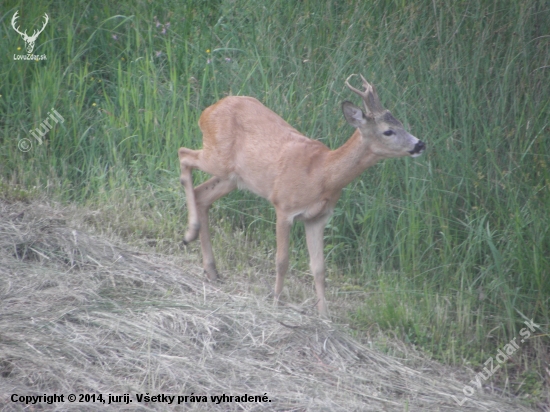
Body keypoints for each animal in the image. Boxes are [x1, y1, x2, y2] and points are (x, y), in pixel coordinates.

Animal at [179, 75, 424, 318]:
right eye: (388, 131)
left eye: (401, 123)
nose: (420, 144)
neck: (322, 174)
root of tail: (207, 111)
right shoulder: (284, 206)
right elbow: (282, 261)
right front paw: (276, 303)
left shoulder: (317, 218)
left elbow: (319, 268)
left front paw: (325, 315)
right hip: (217, 157)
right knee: (184, 155)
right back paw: (189, 234)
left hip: (233, 177)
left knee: (201, 194)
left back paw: (211, 269)